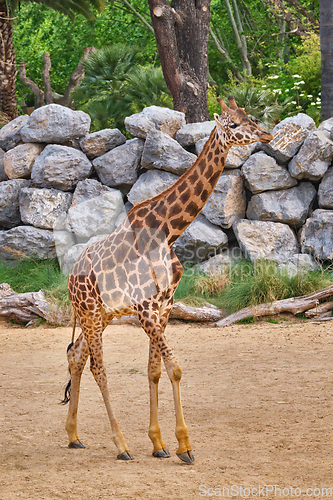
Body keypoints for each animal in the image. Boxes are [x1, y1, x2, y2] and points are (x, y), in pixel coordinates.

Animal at [63, 97, 272, 464]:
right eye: (232, 124)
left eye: (250, 117)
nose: (268, 135)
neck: (168, 231)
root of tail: (72, 277)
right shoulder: (146, 307)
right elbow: (174, 367)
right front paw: (184, 446)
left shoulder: (164, 305)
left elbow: (155, 370)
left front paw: (159, 443)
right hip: (88, 313)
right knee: (98, 369)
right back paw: (121, 446)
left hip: (101, 315)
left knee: (76, 356)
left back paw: (74, 436)